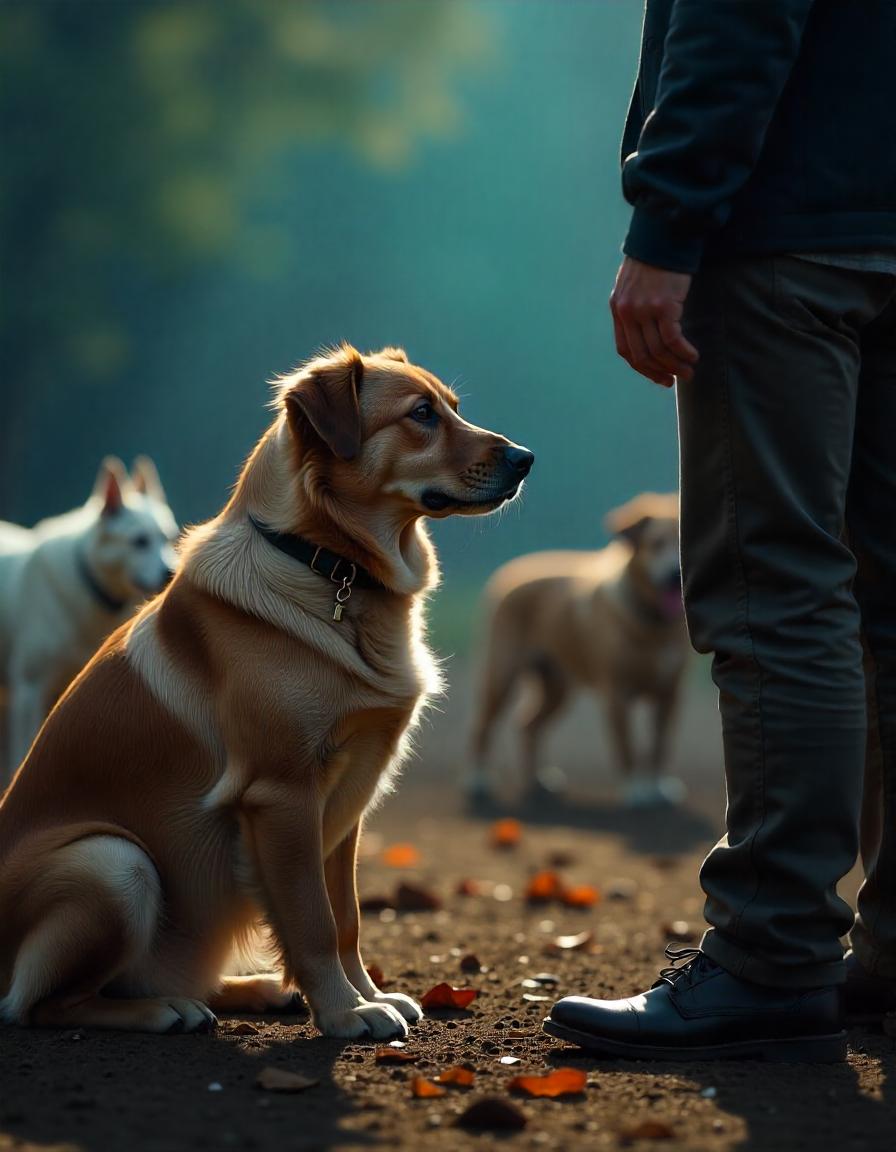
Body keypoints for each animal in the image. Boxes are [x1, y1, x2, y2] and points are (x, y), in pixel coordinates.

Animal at [465, 490, 686, 806]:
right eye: (656, 544)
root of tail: (509, 572)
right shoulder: (616, 695)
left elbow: (659, 746)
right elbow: (628, 747)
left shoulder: (670, 695)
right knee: (481, 727)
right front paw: (637, 788)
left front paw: (657, 786)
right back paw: (478, 780)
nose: (673, 574)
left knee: (527, 725)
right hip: (501, 676)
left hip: (558, 688)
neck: (654, 626)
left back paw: (536, 780)